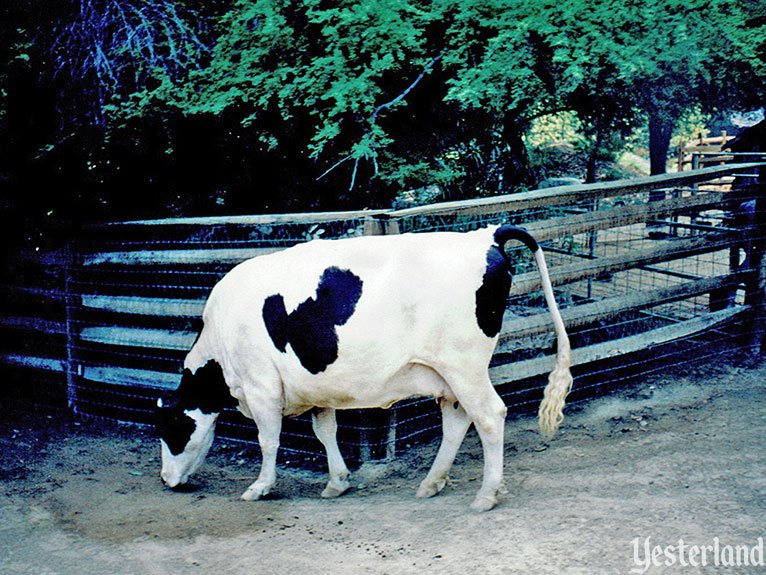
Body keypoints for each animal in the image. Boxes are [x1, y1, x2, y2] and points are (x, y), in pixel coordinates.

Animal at [159, 225, 572, 512]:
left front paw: (260, 487)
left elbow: (268, 440)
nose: (165, 480)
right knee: (457, 422)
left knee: (490, 416)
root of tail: (486, 235)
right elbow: (325, 431)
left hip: (464, 366)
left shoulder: (261, 386)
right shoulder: (317, 388)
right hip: (448, 376)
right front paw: (337, 481)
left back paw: (486, 494)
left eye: (171, 428)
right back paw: (432, 482)